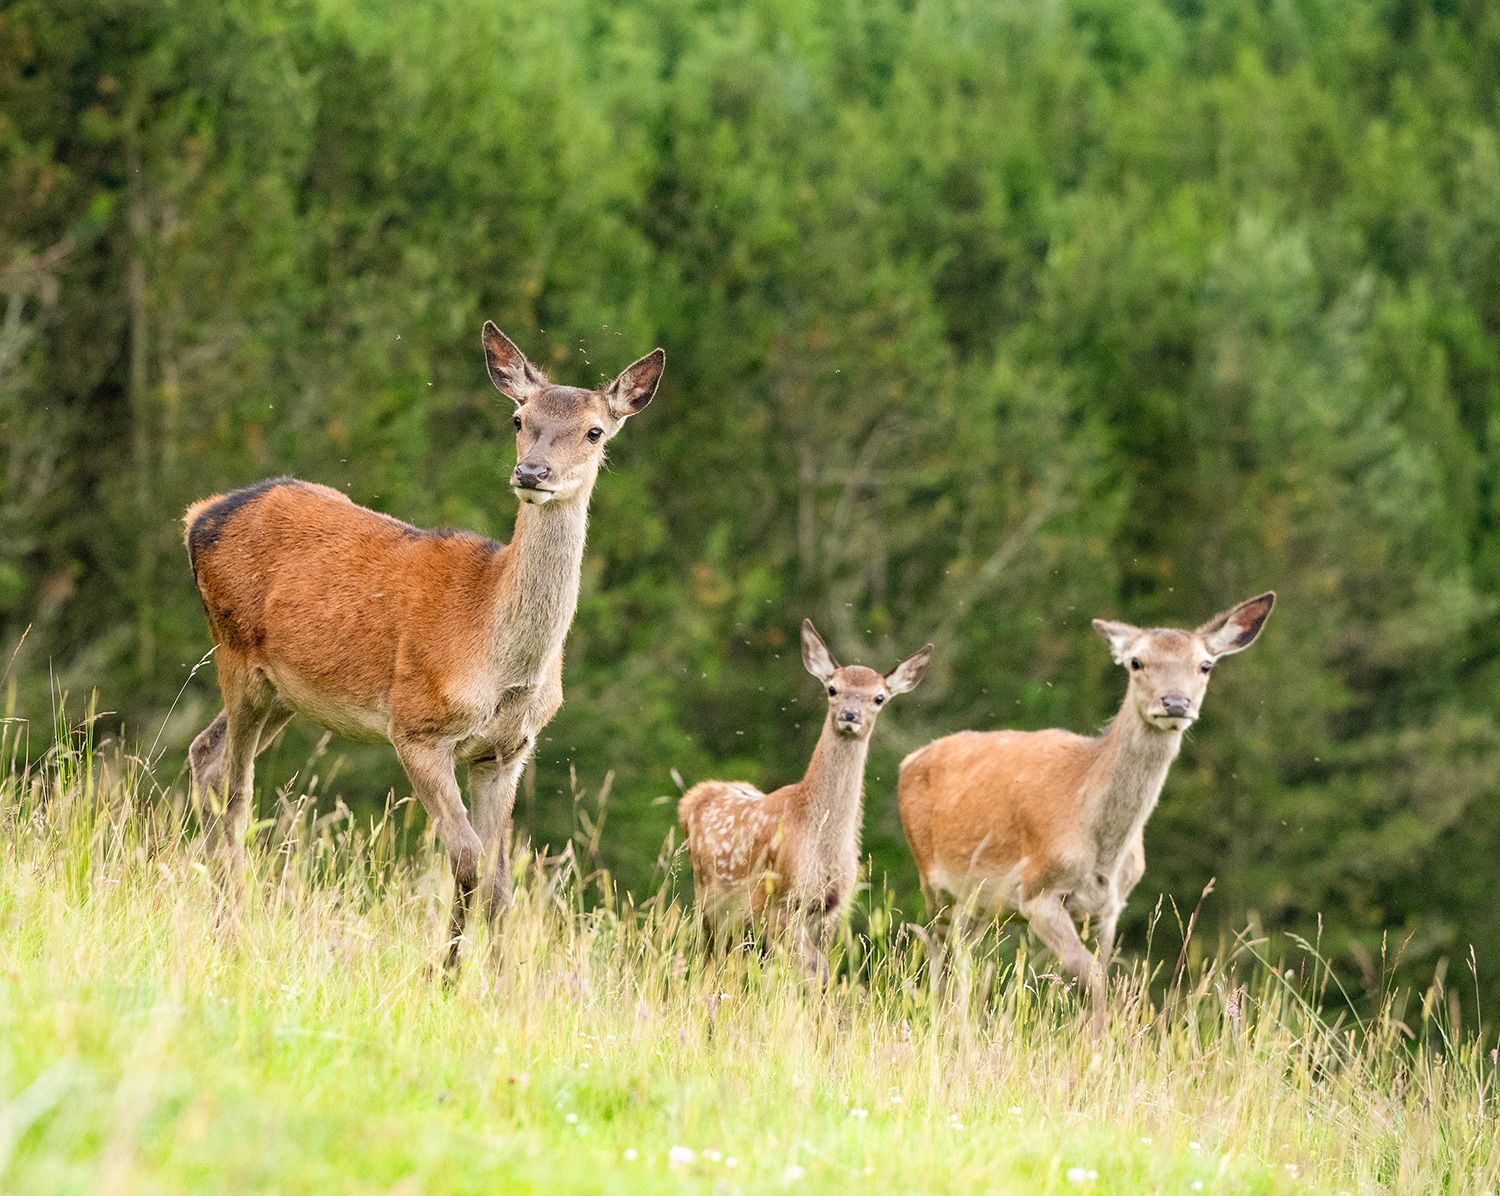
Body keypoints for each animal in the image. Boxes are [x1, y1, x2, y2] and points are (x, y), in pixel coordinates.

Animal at [183, 322, 664, 967]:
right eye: (519, 418)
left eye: (595, 430)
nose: (532, 473)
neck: (502, 662)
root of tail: (197, 515)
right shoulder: (416, 727)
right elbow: (465, 859)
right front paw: (445, 972)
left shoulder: (507, 752)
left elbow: (500, 880)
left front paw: (501, 981)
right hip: (235, 654)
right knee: (235, 793)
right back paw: (231, 932)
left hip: (282, 693)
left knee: (206, 756)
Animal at [679, 620, 932, 979]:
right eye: (833, 689)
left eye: (879, 697)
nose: (850, 715)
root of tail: (695, 795)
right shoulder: (775, 899)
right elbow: (816, 970)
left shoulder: (830, 908)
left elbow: (818, 971)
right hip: (710, 898)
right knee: (711, 959)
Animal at [897, 592, 1274, 996]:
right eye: (1136, 662)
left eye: (1205, 665)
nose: (1175, 703)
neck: (1103, 850)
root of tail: (908, 762)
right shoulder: (1036, 892)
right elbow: (1090, 976)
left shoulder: (1109, 908)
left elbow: (1098, 973)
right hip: (933, 880)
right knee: (941, 959)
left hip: (979, 904)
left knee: (961, 961)